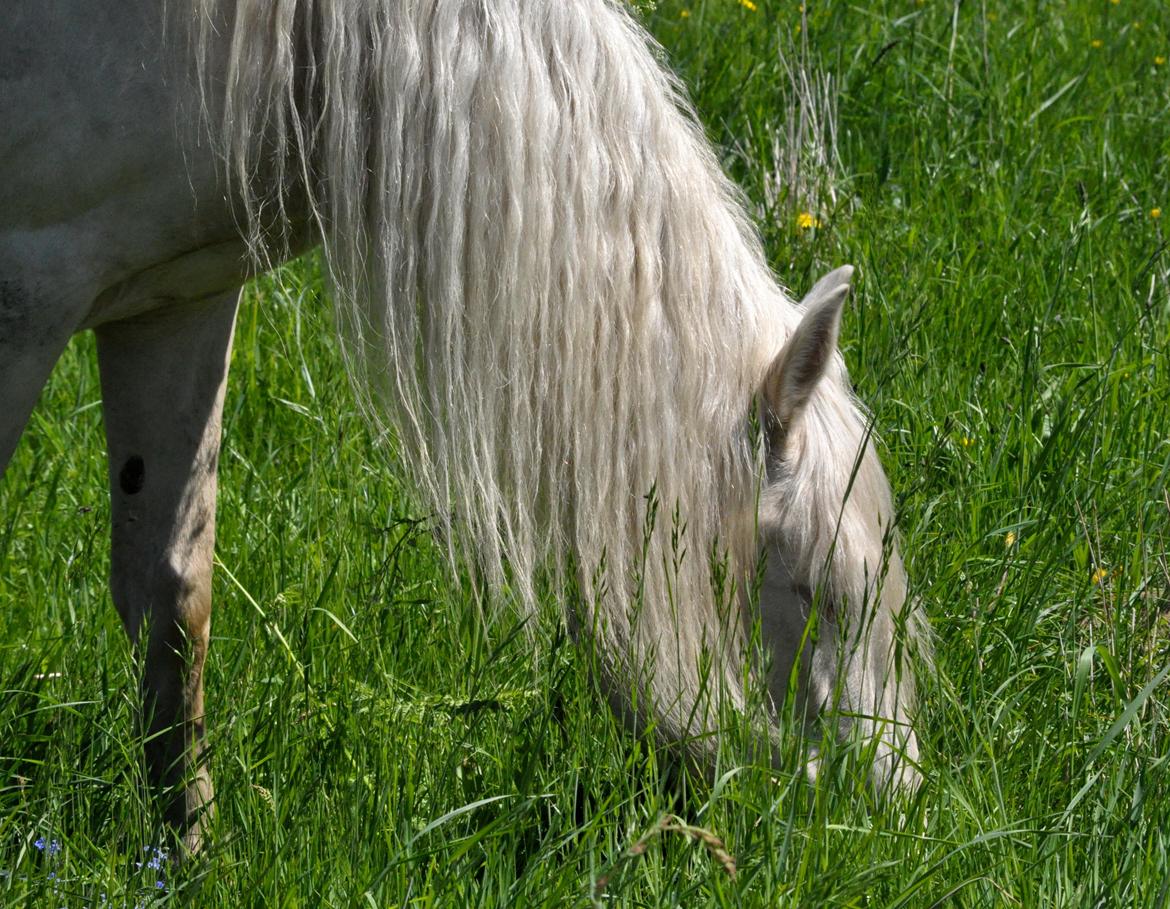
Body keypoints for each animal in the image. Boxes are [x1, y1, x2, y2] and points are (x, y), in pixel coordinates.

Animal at [4, 0, 926, 851]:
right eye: (818, 591)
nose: (891, 812)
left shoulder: (176, 299)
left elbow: (173, 599)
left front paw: (188, 847)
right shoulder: (29, 297)